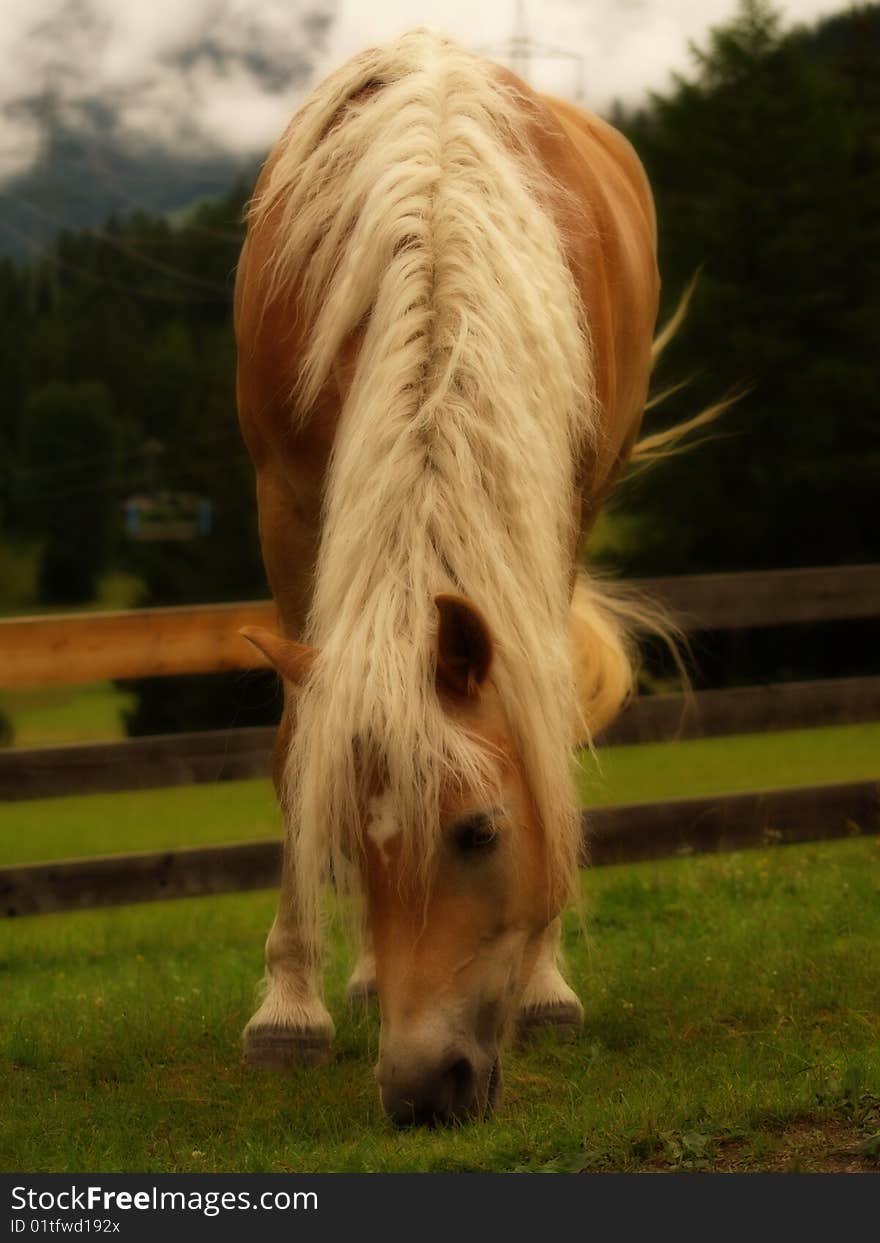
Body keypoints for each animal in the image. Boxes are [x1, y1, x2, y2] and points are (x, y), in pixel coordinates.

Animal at [233, 29, 661, 1123]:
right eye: (348, 843)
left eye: (479, 833)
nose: (424, 1088)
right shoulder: (285, 504)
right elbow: (296, 746)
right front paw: (289, 1008)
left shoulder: (554, 504)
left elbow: (541, 717)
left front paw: (548, 986)